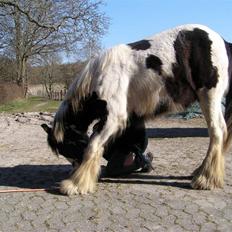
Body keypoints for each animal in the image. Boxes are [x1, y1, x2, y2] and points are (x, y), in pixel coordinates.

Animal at [44, 24, 231, 196]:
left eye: (70, 145)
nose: (74, 169)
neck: (100, 76)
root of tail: (223, 41)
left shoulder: (113, 117)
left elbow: (93, 145)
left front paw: (76, 184)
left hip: (209, 96)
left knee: (218, 132)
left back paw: (205, 179)